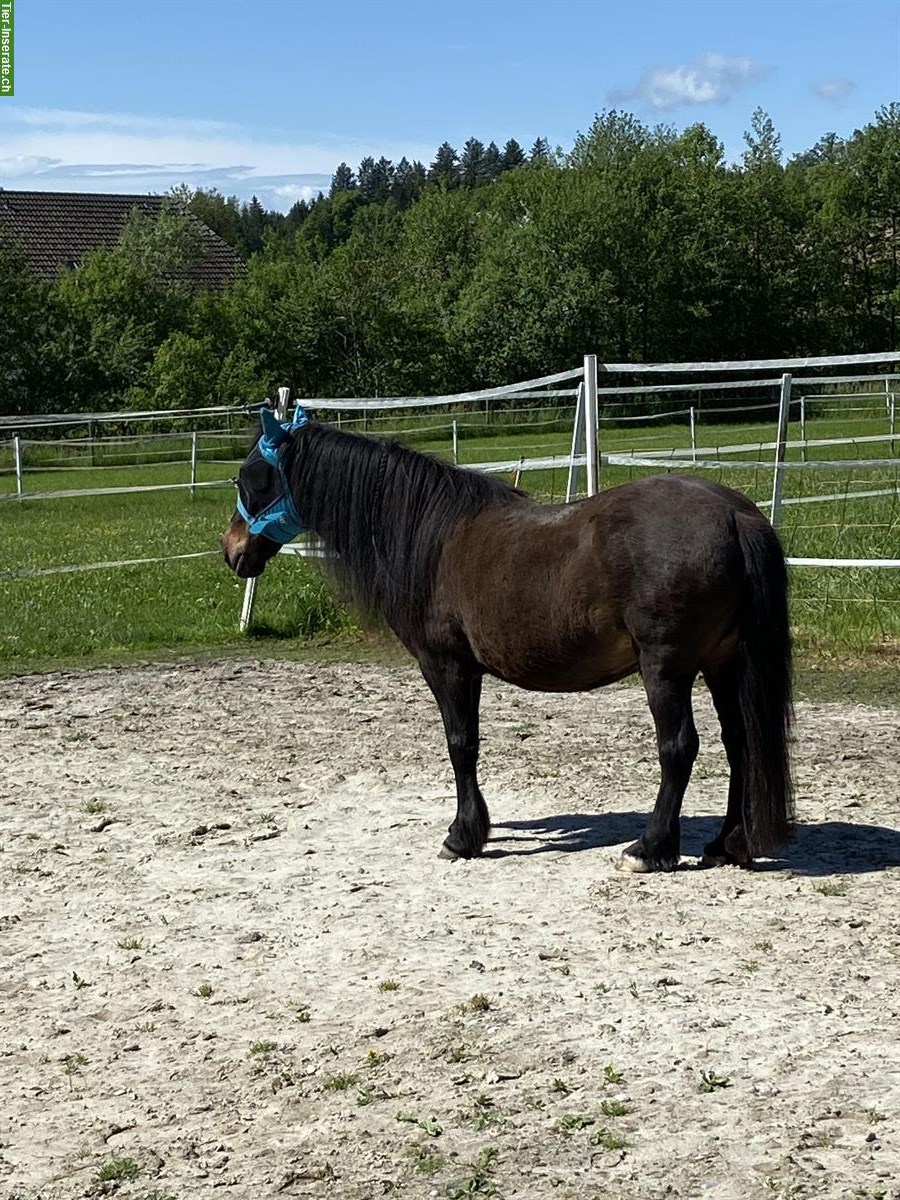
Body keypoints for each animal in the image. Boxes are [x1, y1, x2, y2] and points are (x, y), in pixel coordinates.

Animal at [222, 410, 792, 873]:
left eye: (252, 479)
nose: (232, 550)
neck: (433, 537)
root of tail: (734, 514)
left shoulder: (446, 664)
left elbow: (461, 745)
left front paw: (462, 836)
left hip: (666, 668)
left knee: (679, 747)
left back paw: (649, 849)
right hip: (722, 664)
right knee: (740, 743)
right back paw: (726, 844)